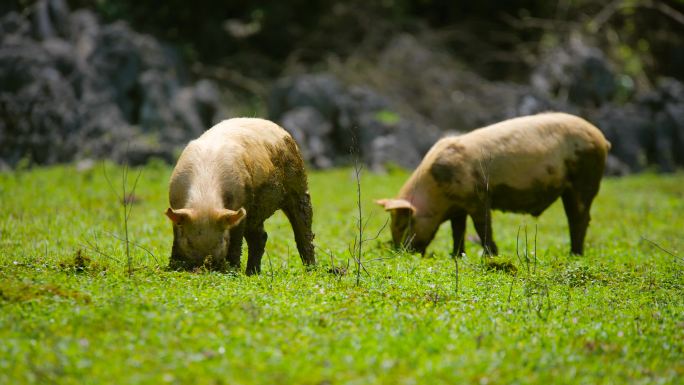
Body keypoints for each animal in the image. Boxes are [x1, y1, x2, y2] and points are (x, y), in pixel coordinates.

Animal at [166, 117, 316, 272]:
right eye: (189, 241)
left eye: (221, 240)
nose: (206, 267)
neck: (204, 197)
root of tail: (281, 129)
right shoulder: (175, 204)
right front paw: (172, 267)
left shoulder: (242, 204)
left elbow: (235, 241)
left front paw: (233, 270)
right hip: (256, 212)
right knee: (261, 237)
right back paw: (252, 273)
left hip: (299, 183)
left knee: (304, 230)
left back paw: (311, 269)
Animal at [376, 112, 612, 255]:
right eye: (393, 225)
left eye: (405, 224)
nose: (399, 252)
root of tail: (601, 138)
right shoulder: (458, 208)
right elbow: (458, 231)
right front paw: (456, 255)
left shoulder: (479, 197)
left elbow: (483, 227)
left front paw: (490, 256)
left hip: (585, 177)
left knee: (579, 217)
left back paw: (575, 254)